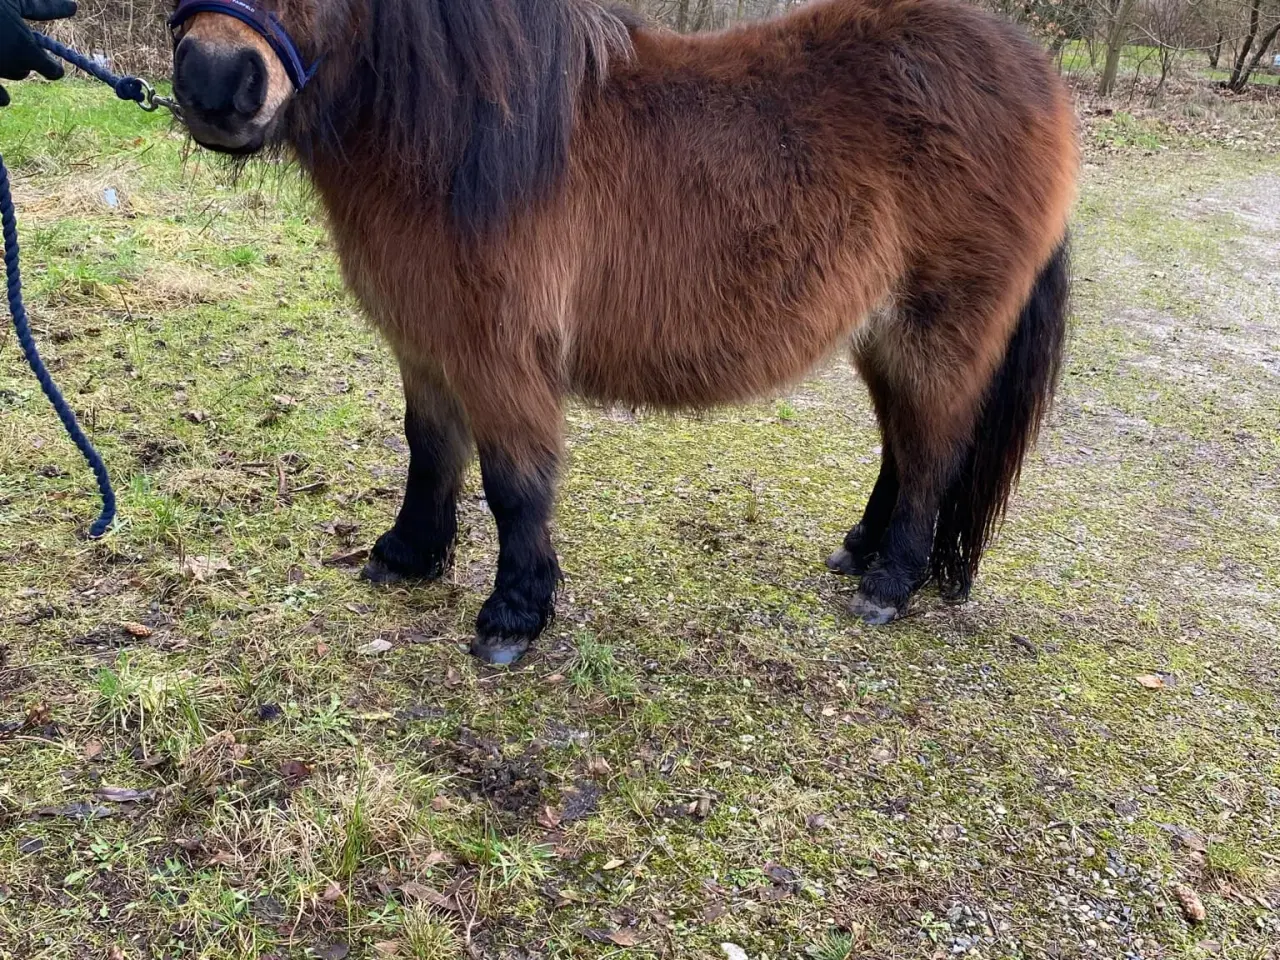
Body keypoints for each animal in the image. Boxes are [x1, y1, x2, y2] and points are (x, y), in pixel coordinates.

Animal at [170, 0, 1080, 660]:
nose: (214, 81)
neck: (460, 134)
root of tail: (1034, 72)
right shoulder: (426, 344)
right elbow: (429, 450)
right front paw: (408, 555)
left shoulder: (500, 353)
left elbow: (514, 482)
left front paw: (513, 616)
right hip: (882, 332)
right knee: (902, 442)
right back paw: (862, 549)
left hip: (941, 329)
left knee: (933, 451)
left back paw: (889, 585)